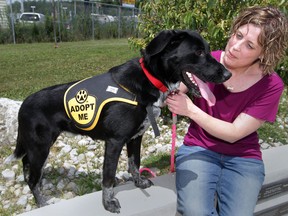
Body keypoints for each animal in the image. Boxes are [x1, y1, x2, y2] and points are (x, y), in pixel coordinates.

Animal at [5, 29, 232, 213]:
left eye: (208, 50)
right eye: (199, 52)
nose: (228, 74)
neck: (149, 79)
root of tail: (24, 104)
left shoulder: (135, 137)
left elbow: (134, 163)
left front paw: (138, 182)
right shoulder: (114, 141)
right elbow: (108, 176)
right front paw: (108, 203)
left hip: (37, 148)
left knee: (26, 166)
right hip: (40, 148)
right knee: (33, 178)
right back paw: (41, 202)